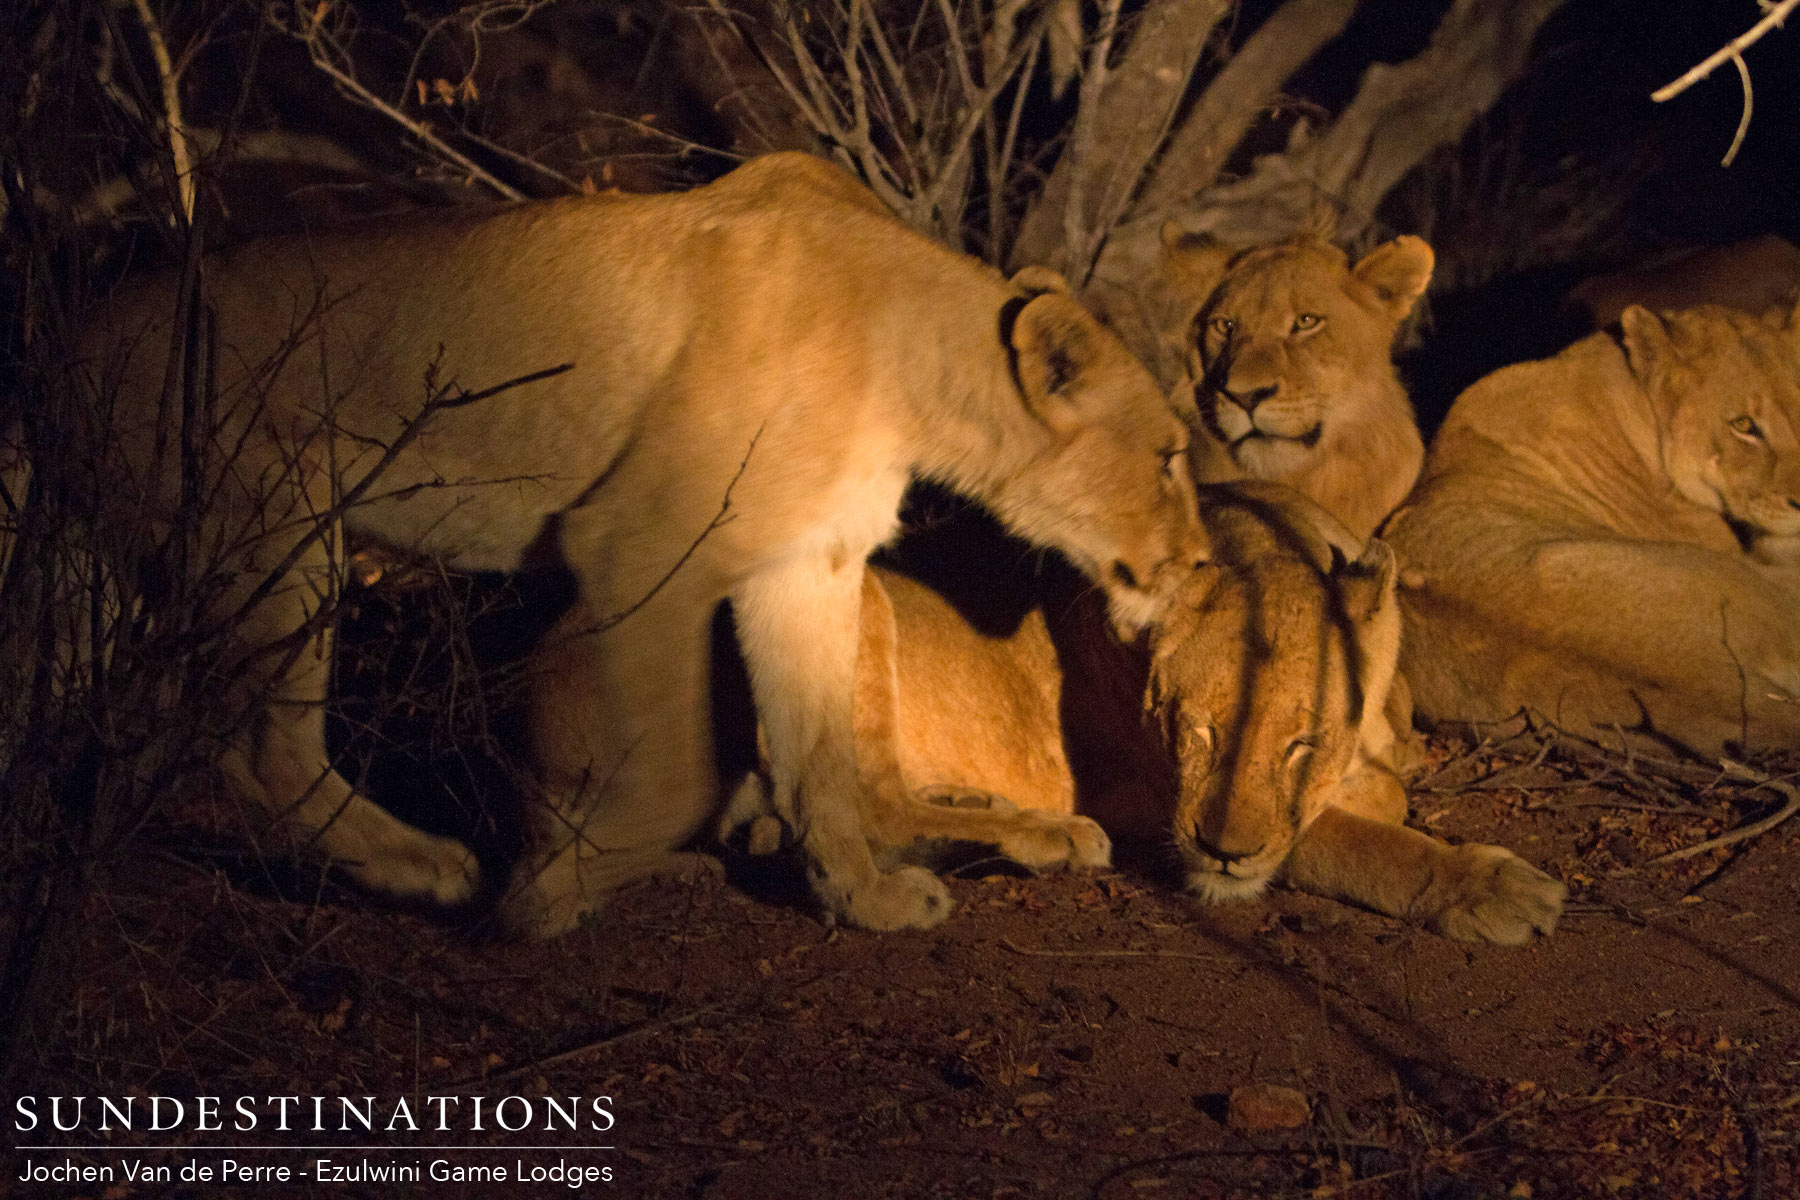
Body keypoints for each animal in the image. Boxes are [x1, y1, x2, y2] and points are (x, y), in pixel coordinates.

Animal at [78, 152, 1208, 935]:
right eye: (1167, 456)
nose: (1201, 564)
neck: (913, 367)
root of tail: (88, 329)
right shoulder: (639, 542)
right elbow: (673, 772)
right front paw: (550, 889)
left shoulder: (805, 563)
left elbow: (821, 767)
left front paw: (863, 903)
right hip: (272, 508)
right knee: (261, 747)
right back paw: (432, 868)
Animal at [729, 483, 1557, 943]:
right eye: (1195, 731)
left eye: (1303, 743)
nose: (1223, 853)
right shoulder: (1167, 805)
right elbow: (1360, 839)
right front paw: (1490, 887)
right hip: (845, 601)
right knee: (864, 806)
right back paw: (1052, 836)